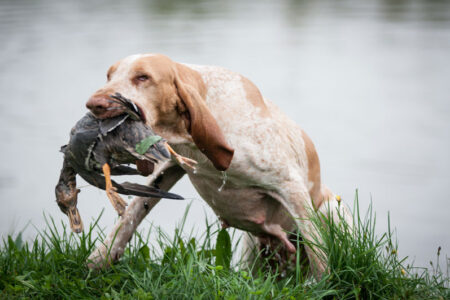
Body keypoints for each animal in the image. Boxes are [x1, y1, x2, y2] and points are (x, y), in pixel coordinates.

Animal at [85, 52, 352, 276]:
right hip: (252, 249)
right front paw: (98, 260)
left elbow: (319, 255)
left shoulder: (289, 185)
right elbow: (132, 213)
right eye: (109, 76)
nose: (94, 104)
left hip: (331, 210)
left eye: (143, 77)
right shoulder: (170, 168)